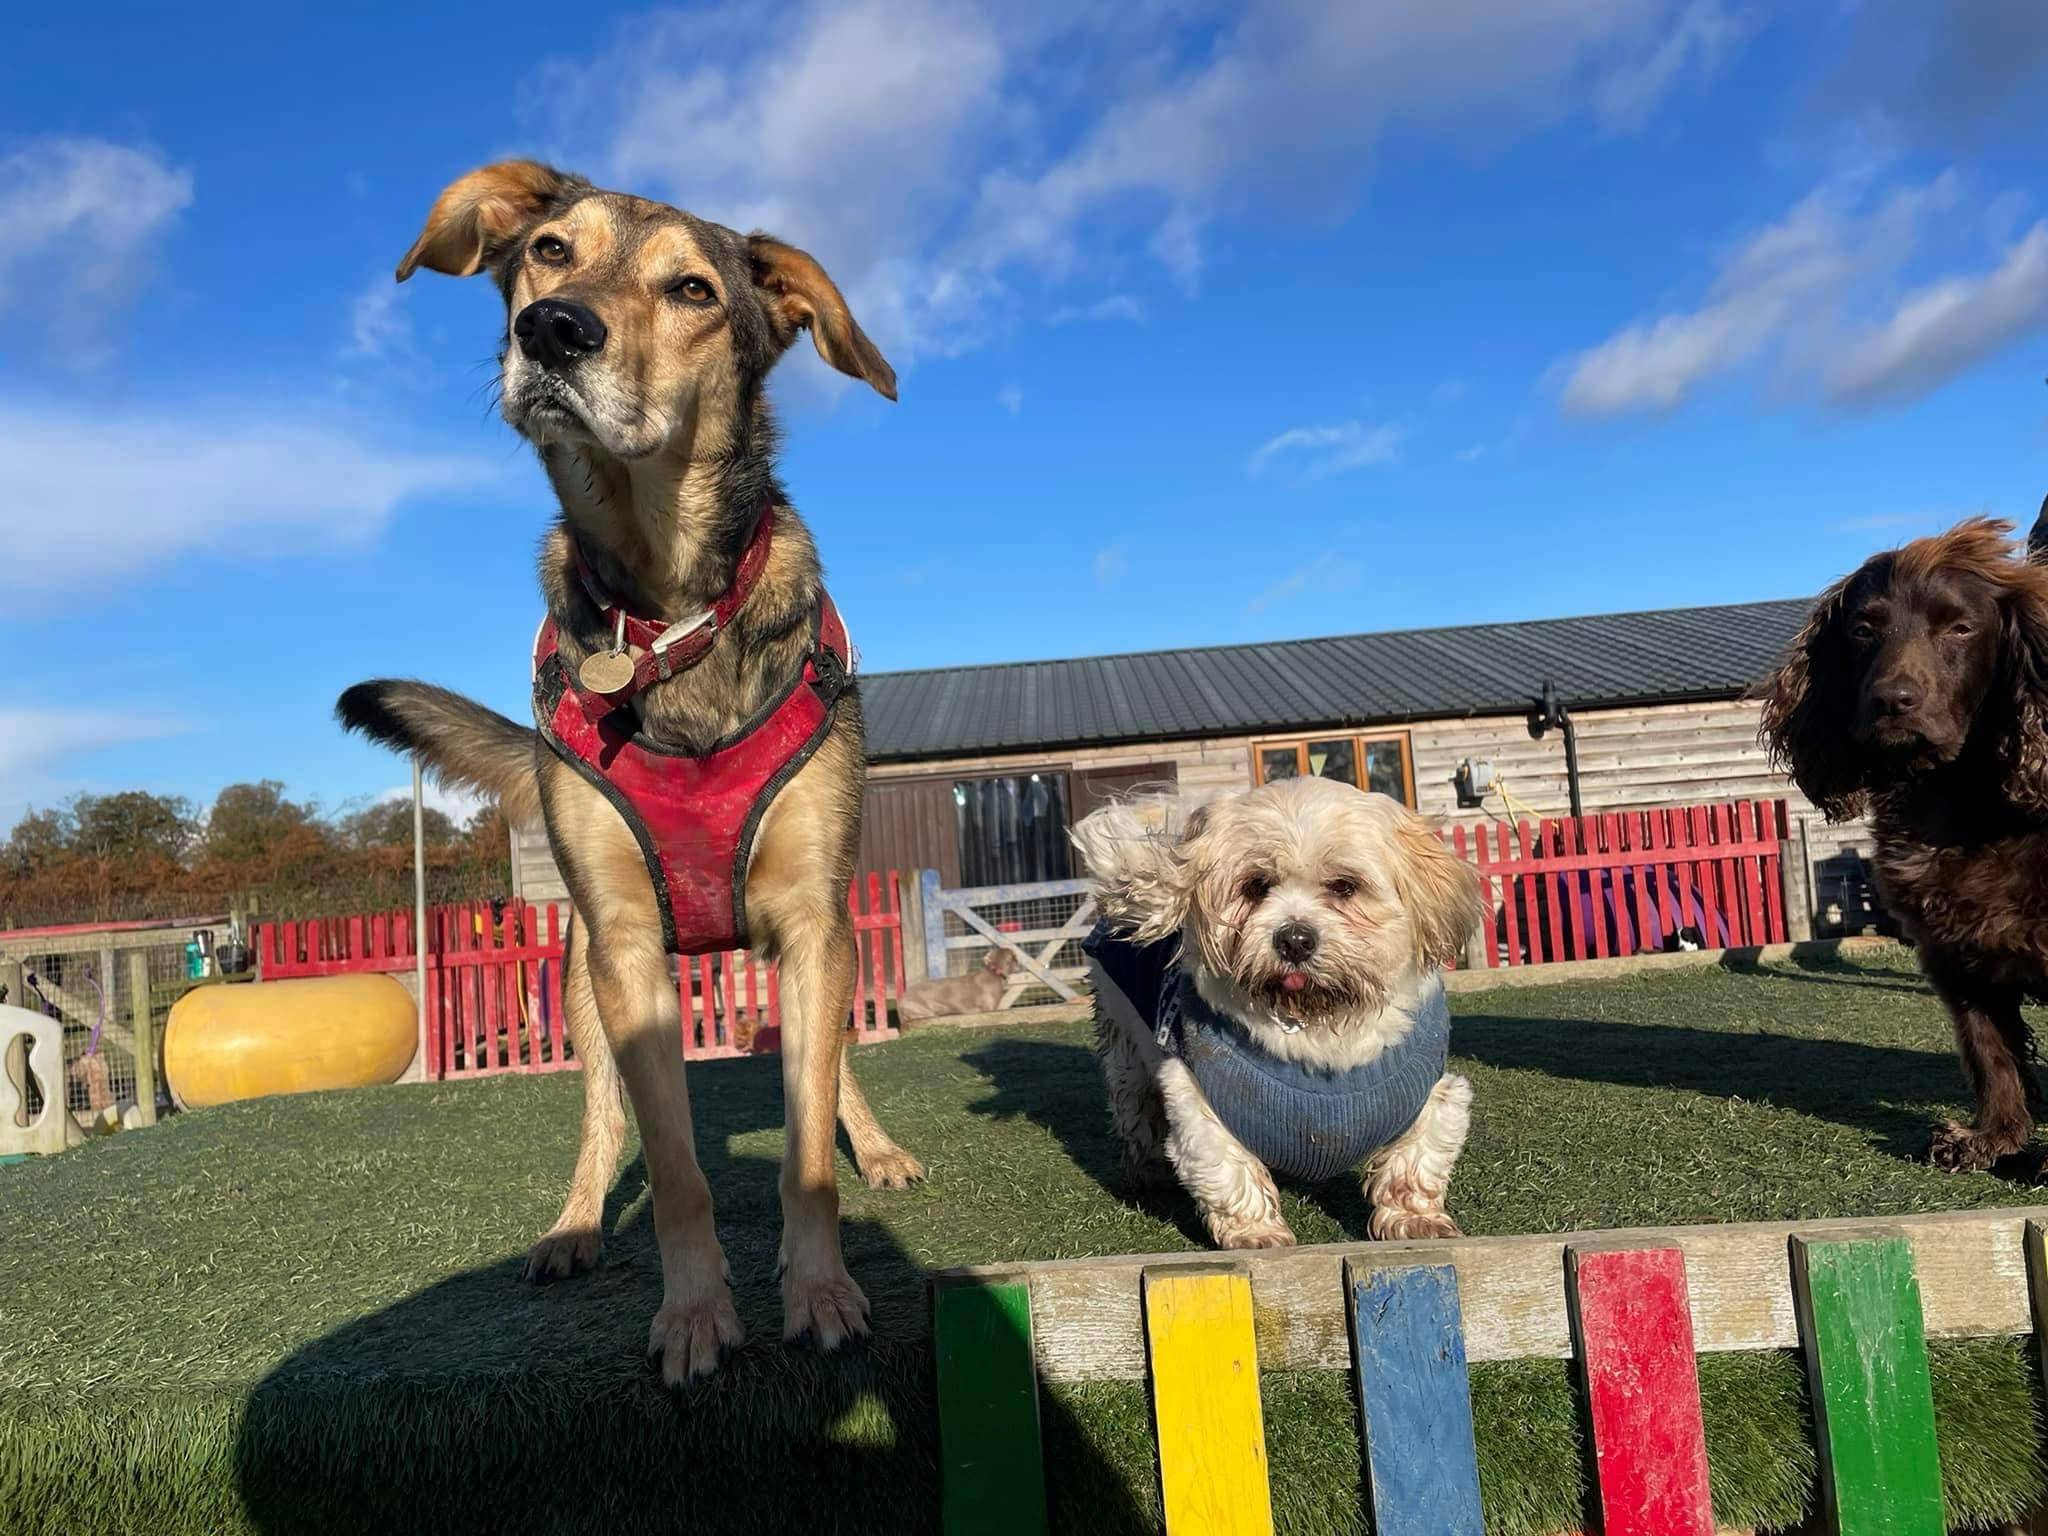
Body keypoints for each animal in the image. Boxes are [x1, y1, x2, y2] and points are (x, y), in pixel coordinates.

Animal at [337, 161, 924, 1383]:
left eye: (692, 288)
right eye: (549, 252)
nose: (553, 330)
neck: (667, 610)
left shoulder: (815, 924)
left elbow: (805, 1143)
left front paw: (820, 1290)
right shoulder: (627, 952)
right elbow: (675, 1168)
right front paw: (696, 1314)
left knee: (831, 1065)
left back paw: (875, 1146)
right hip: (580, 977)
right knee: (601, 1114)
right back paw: (571, 1226)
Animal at [1073, 777, 1486, 1249]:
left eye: (1345, 886)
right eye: (1256, 885)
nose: (1294, 938)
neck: (1319, 1027)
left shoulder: (1433, 1092)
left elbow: (1415, 1161)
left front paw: (1416, 1221)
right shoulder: (1197, 1095)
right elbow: (1227, 1170)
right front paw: (1256, 1233)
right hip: (1126, 1056)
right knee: (1136, 1111)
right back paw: (1146, 1173)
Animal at [1759, 516, 2048, 1173]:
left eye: (1960, 628)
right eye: (1864, 631)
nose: (1892, 701)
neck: (1954, 799)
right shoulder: (1954, 956)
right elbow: (1992, 1053)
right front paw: (1991, 1139)